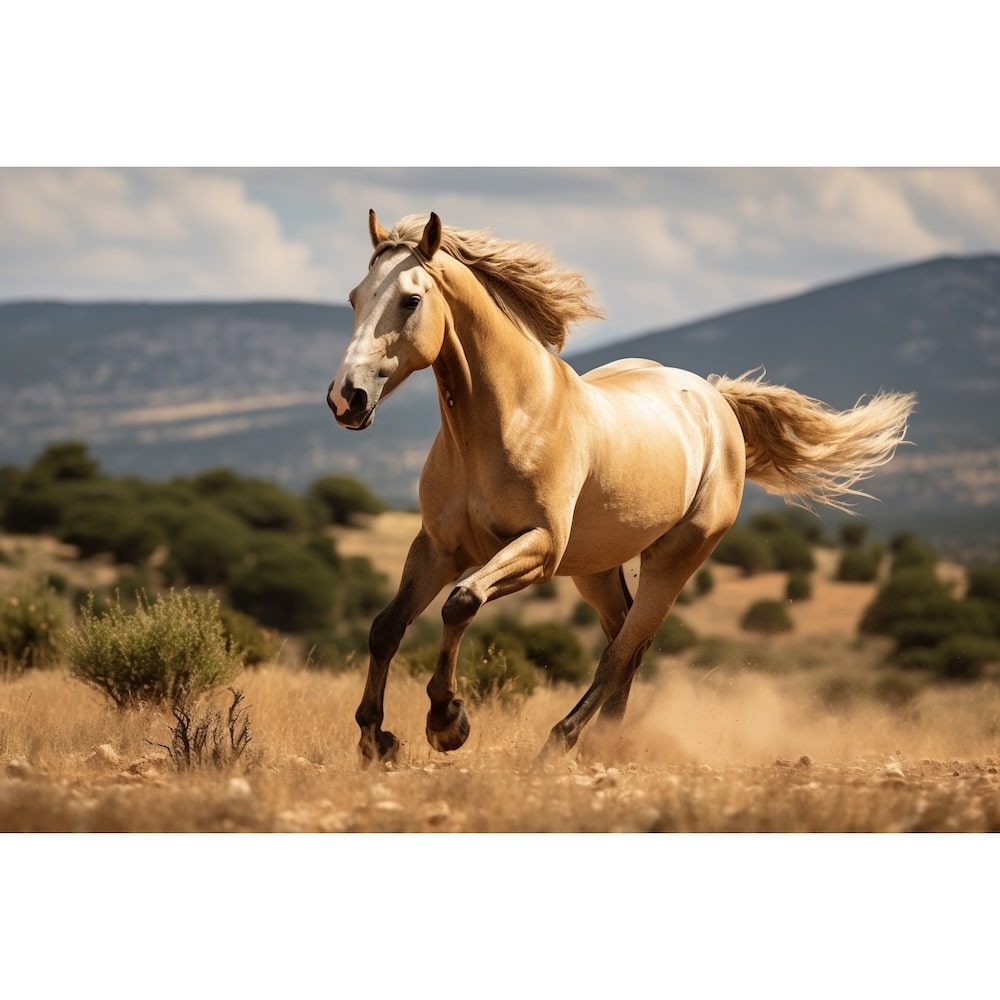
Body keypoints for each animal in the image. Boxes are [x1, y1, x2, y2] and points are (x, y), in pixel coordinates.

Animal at [328, 207, 916, 760]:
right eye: (355, 297)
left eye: (409, 300)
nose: (345, 398)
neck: (507, 420)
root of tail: (715, 398)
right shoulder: (438, 547)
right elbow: (387, 626)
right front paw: (375, 739)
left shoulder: (539, 548)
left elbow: (461, 602)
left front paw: (447, 722)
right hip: (596, 569)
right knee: (624, 639)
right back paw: (604, 744)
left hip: (673, 560)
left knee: (622, 651)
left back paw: (562, 743)